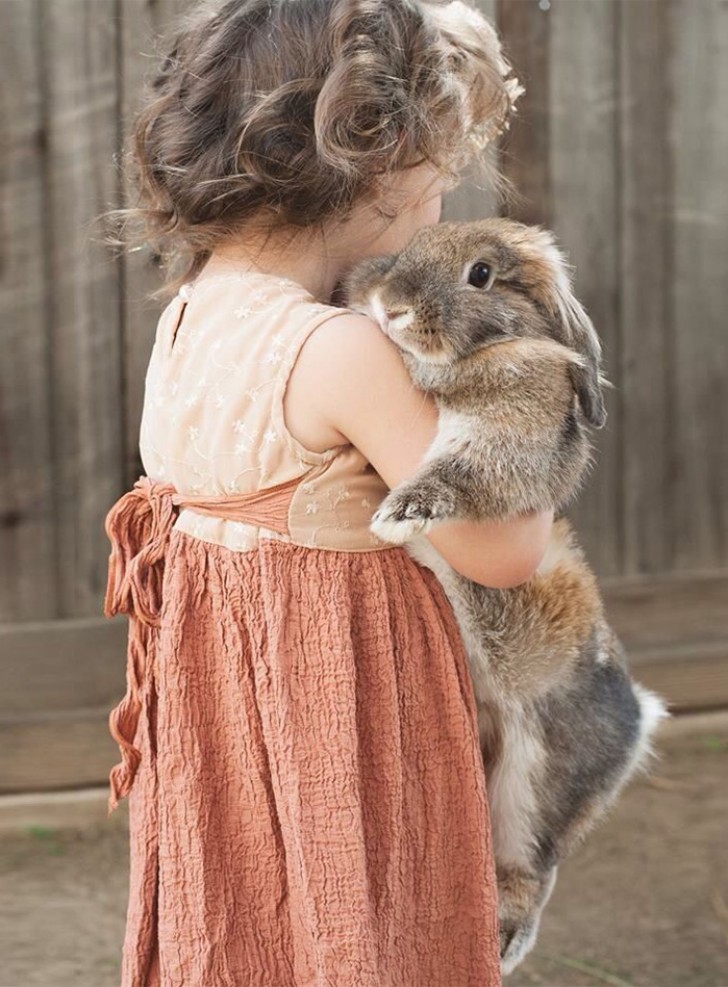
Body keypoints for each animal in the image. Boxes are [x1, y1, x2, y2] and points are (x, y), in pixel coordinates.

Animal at [342, 220, 672, 976]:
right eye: (411, 246)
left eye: (482, 274)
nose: (391, 307)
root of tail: (635, 719)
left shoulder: (514, 425)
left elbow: (464, 469)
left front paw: (402, 513)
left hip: (535, 784)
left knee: (532, 868)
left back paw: (505, 941)